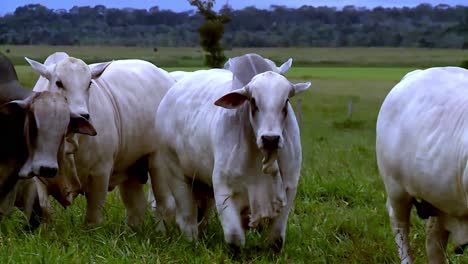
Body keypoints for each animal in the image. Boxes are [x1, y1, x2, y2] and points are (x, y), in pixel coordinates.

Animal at [26, 57, 176, 225]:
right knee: (136, 209)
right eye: (59, 83)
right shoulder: (39, 176)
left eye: (89, 83)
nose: (83, 115)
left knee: (164, 206)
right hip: (133, 167)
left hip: (159, 163)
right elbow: (45, 211)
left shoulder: (100, 174)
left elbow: (92, 218)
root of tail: (167, 78)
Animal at [151, 52, 310, 251]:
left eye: (286, 101)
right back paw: (193, 243)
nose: (270, 139)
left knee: (202, 216)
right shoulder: (223, 189)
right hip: (176, 175)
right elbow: (235, 239)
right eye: (253, 101)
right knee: (187, 218)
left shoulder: (289, 187)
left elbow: (276, 239)